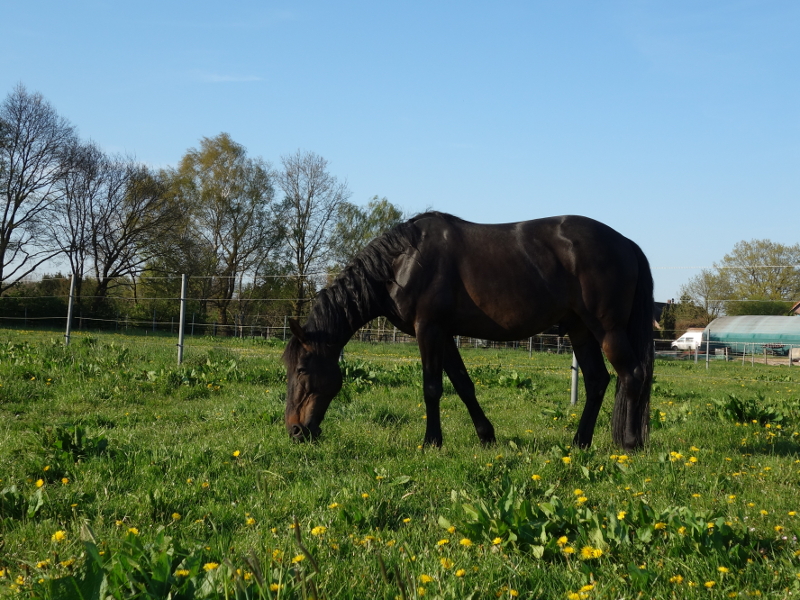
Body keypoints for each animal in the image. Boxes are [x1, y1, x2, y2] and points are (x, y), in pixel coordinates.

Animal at [283, 212, 654, 451]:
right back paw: (579, 443)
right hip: (580, 329)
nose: (295, 431)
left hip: (606, 329)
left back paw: (630, 443)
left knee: (632, 374)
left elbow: (432, 388)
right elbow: (463, 385)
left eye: (301, 369)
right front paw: (486, 436)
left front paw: (431, 442)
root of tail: (627, 243)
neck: (403, 262)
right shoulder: (444, 334)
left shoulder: (428, 330)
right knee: (597, 380)